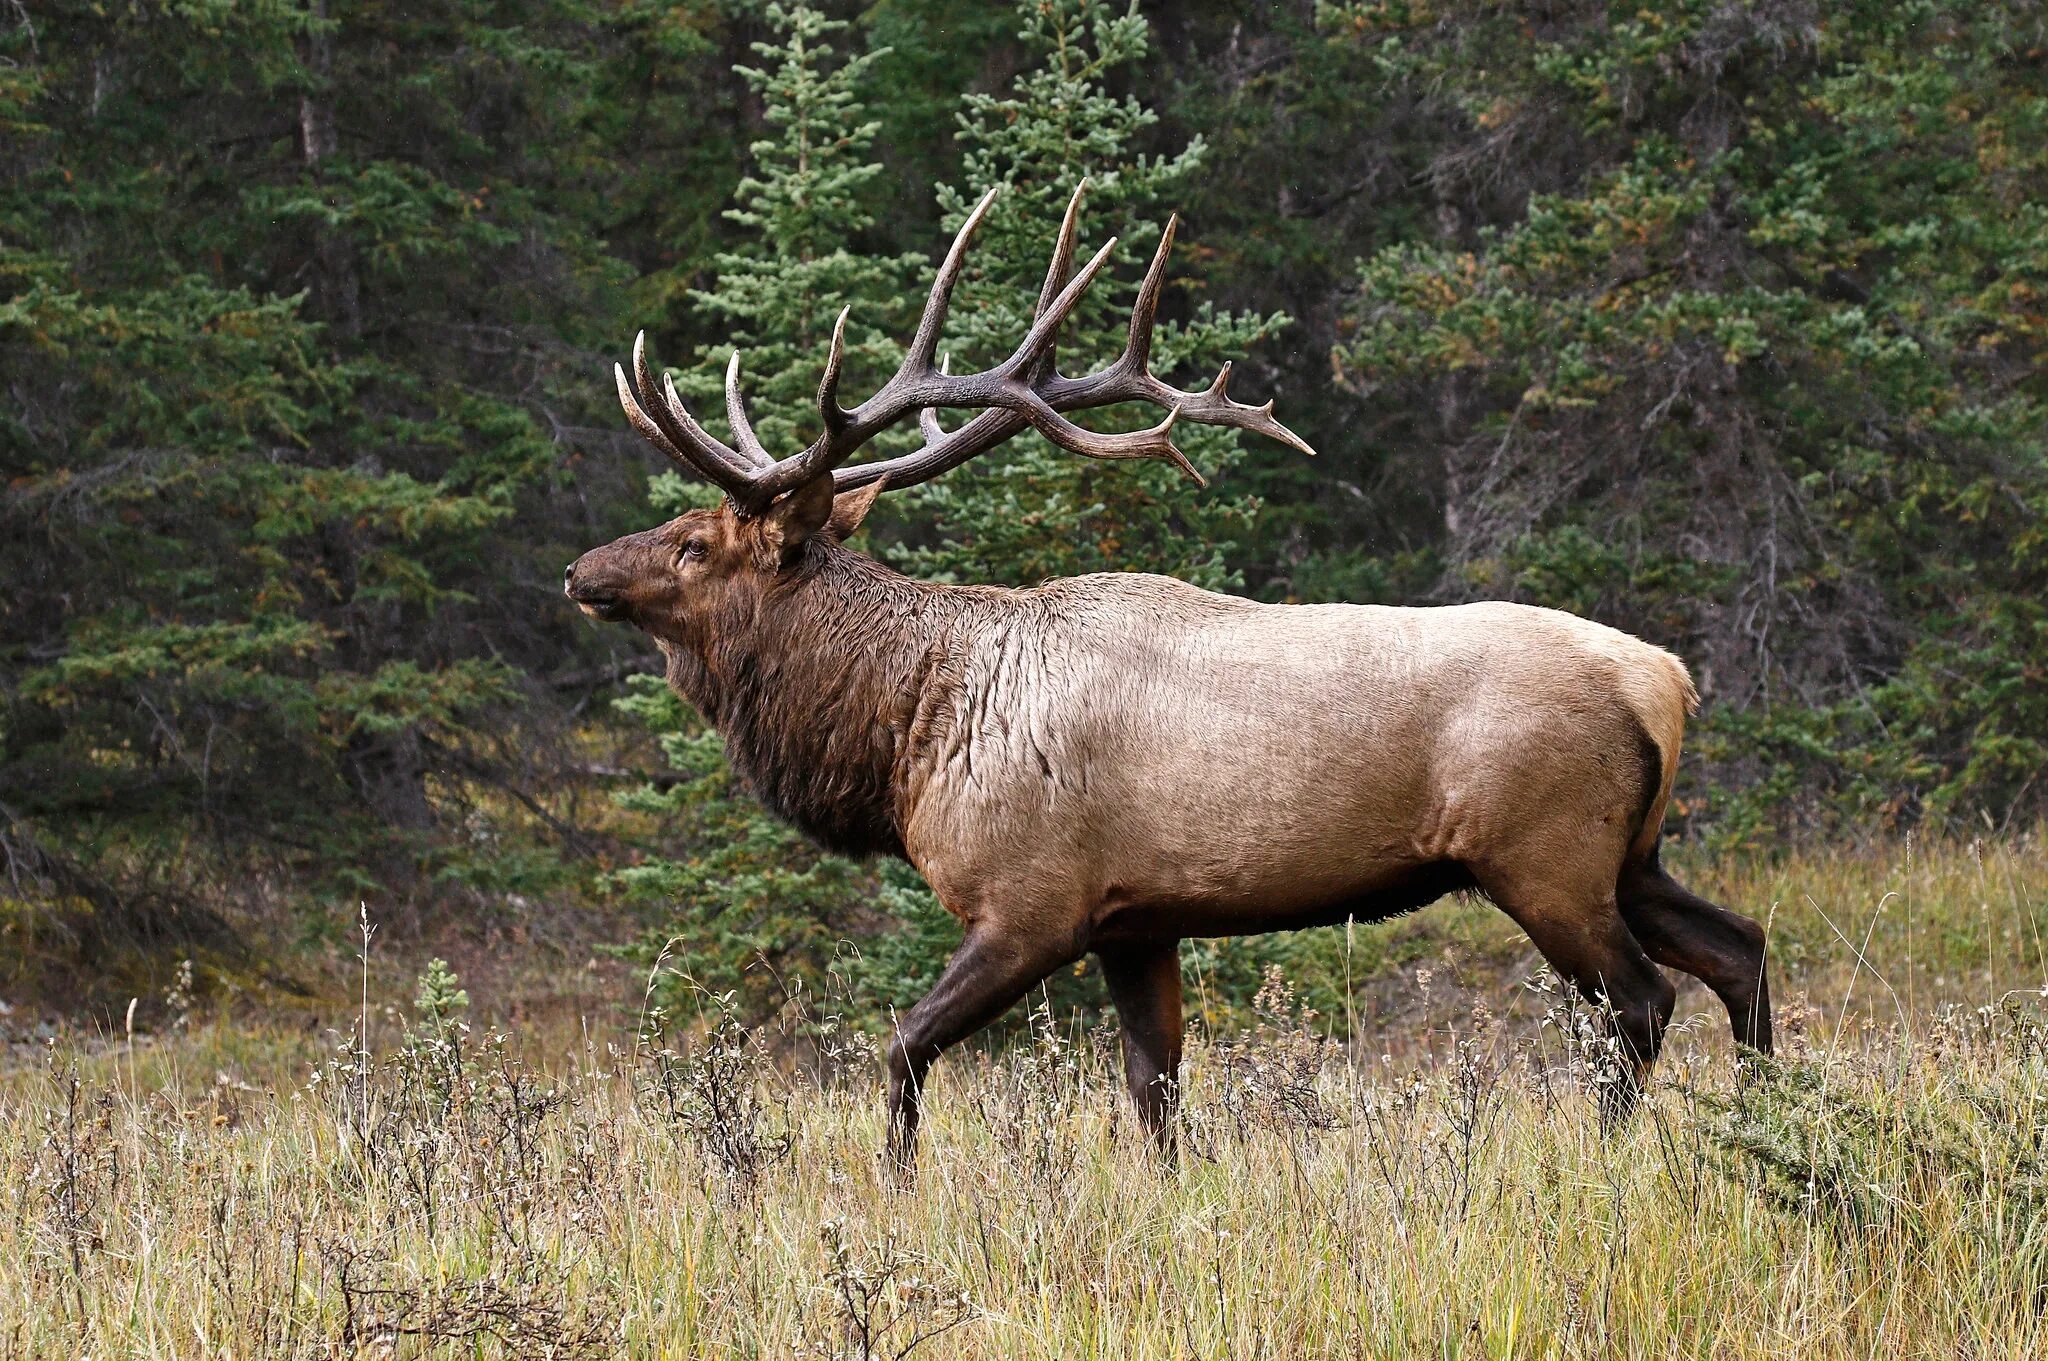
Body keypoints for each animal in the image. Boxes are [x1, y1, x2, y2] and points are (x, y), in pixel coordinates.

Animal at [569, 183, 1769, 1170]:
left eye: (692, 543)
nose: (582, 570)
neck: (908, 732)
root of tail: (1667, 680)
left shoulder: (1030, 901)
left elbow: (903, 1046)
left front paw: (896, 1184)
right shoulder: (1135, 918)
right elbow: (1155, 1090)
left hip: (1543, 851)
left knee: (1644, 998)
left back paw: (1615, 1150)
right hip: (1630, 853)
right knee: (1740, 948)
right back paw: (1766, 1118)